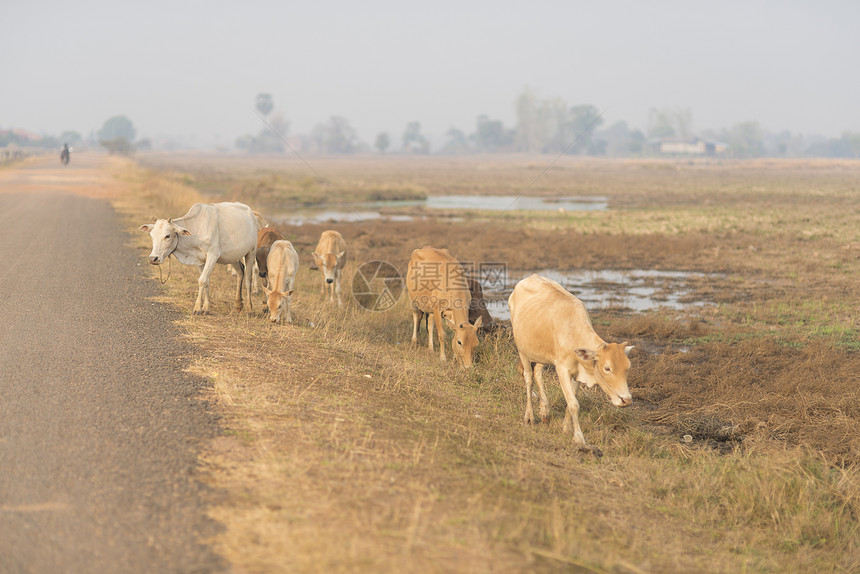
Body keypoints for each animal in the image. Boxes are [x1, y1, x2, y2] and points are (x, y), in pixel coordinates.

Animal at [508, 274, 636, 454]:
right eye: (607, 368)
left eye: (628, 368)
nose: (627, 400)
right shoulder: (562, 369)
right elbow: (574, 404)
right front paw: (579, 439)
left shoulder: (577, 373)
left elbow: (571, 402)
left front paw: (566, 428)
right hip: (523, 351)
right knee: (528, 378)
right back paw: (530, 417)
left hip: (542, 355)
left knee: (538, 372)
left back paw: (545, 411)